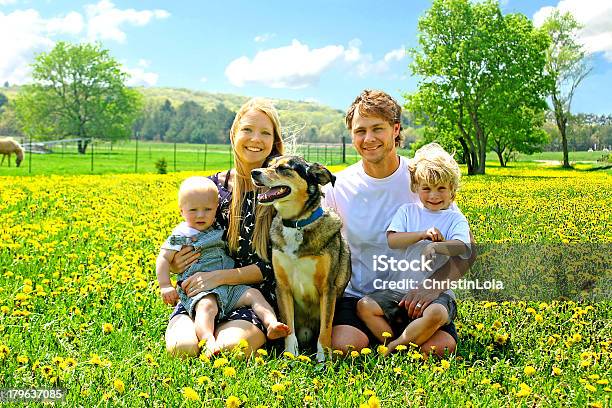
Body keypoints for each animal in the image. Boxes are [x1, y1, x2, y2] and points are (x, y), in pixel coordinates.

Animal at [252, 155, 350, 360]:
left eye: (283, 168)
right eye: (268, 165)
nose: (254, 172)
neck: (296, 224)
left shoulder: (328, 288)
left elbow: (325, 330)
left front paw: (323, 360)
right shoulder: (282, 287)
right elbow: (288, 328)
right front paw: (291, 356)